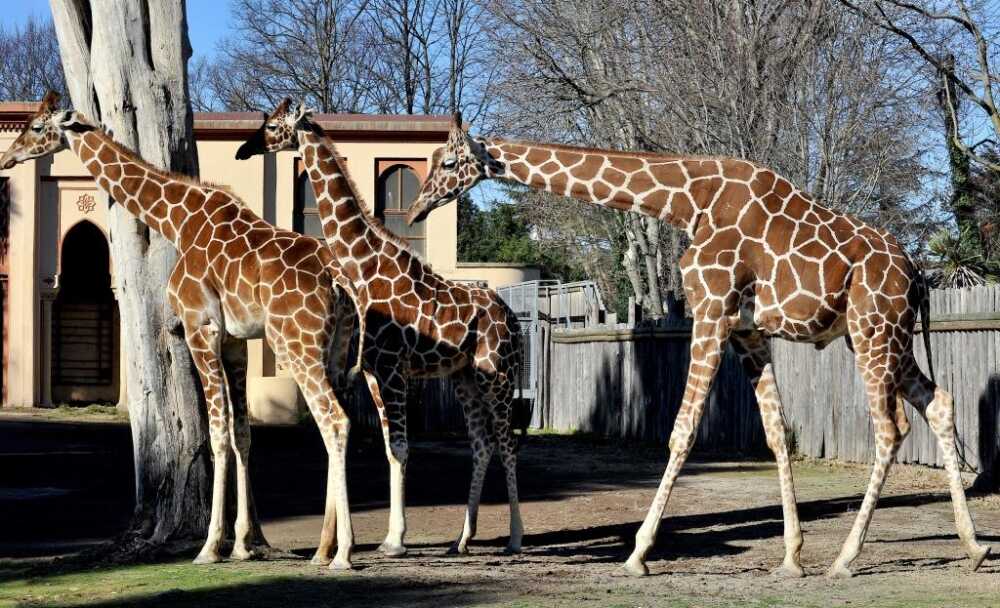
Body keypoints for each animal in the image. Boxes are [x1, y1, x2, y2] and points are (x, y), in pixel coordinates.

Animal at [0, 92, 358, 570]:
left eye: (37, 128)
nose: (8, 157)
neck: (180, 221)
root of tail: (339, 280)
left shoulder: (198, 326)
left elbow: (217, 433)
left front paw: (210, 547)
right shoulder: (235, 341)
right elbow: (242, 433)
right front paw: (243, 544)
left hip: (296, 344)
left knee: (334, 419)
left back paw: (343, 553)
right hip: (335, 348)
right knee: (339, 421)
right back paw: (323, 548)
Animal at [235, 99, 524, 557]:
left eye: (275, 126)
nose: (244, 149)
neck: (363, 266)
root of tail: (514, 320)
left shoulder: (391, 369)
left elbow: (402, 448)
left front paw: (395, 541)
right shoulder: (373, 372)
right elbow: (390, 449)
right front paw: (389, 537)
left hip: (499, 373)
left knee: (508, 441)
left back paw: (514, 537)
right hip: (465, 377)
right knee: (482, 443)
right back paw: (461, 539)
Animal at [406, 113, 991, 578]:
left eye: (449, 162)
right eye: (430, 160)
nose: (414, 209)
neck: (687, 202)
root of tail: (919, 276)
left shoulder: (710, 311)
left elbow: (682, 431)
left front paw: (637, 554)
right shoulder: (747, 331)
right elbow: (776, 433)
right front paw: (792, 556)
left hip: (874, 331)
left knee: (891, 429)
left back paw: (847, 559)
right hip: (883, 337)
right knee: (939, 403)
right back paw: (973, 546)